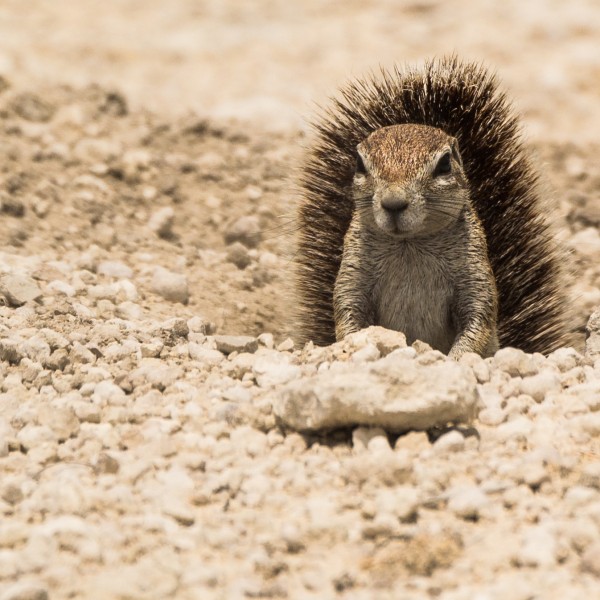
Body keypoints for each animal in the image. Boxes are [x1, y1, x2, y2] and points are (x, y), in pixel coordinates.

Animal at [298, 55, 568, 356]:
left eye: (445, 164)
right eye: (358, 162)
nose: (393, 203)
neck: (410, 244)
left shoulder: (474, 277)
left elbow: (478, 321)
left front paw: (456, 360)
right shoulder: (353, 274)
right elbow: (347, 313)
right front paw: (355, 347)